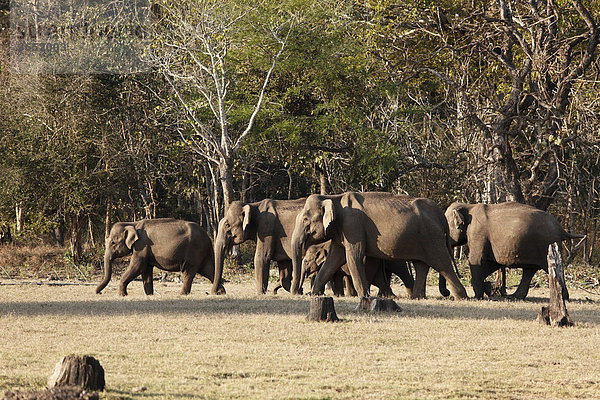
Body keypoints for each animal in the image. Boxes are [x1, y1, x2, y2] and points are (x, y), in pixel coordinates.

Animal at [96, 217, 225, 296]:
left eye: (113, 242)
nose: (99, 292)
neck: (133, 223)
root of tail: (208, 237)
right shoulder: (146, 250)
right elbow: (146, 270)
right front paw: (149, 294)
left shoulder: (141, 246)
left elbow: (137, 267)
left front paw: (121, 295)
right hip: (202, 254)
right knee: (209, 270)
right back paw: (220, 292)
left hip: (194, 252)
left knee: (189, 272)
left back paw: (182, 294)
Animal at [290, 191, 468, 300]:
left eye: (305, 220)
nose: (299, 293)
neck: (334, 198)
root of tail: (440, 214)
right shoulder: (342, 232)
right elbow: (334, 259)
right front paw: (314, 294)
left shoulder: (353, 227)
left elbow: (353, 257)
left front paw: (364, 296)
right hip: (422, 238)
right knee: (421, 265)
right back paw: (417, 297)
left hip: (431, 237)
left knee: (442, 263)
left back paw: (461, 297)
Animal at [446, 202, 584, 298]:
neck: (469, 206)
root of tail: (561, 229)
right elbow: (492, 263)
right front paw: (486, 290)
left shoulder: (477, 233)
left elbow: (477, 260)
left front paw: (477, 296)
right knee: (529, 270)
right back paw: (515, 297)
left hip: (546, 245)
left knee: (547, 268)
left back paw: (564, 297)